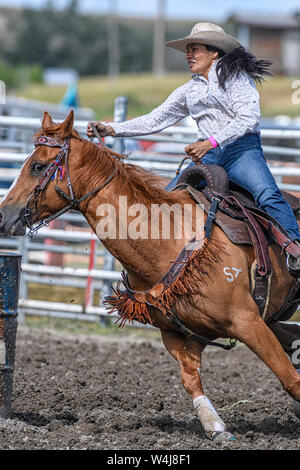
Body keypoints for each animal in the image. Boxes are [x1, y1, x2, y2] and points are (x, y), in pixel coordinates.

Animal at [0, 111, 300, 444]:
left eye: (38, 166)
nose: (3, 215)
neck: (166, 239)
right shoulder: (177, 334)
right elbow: (191, 380)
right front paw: (217, 429)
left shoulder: (247, 321)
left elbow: (290, 379)